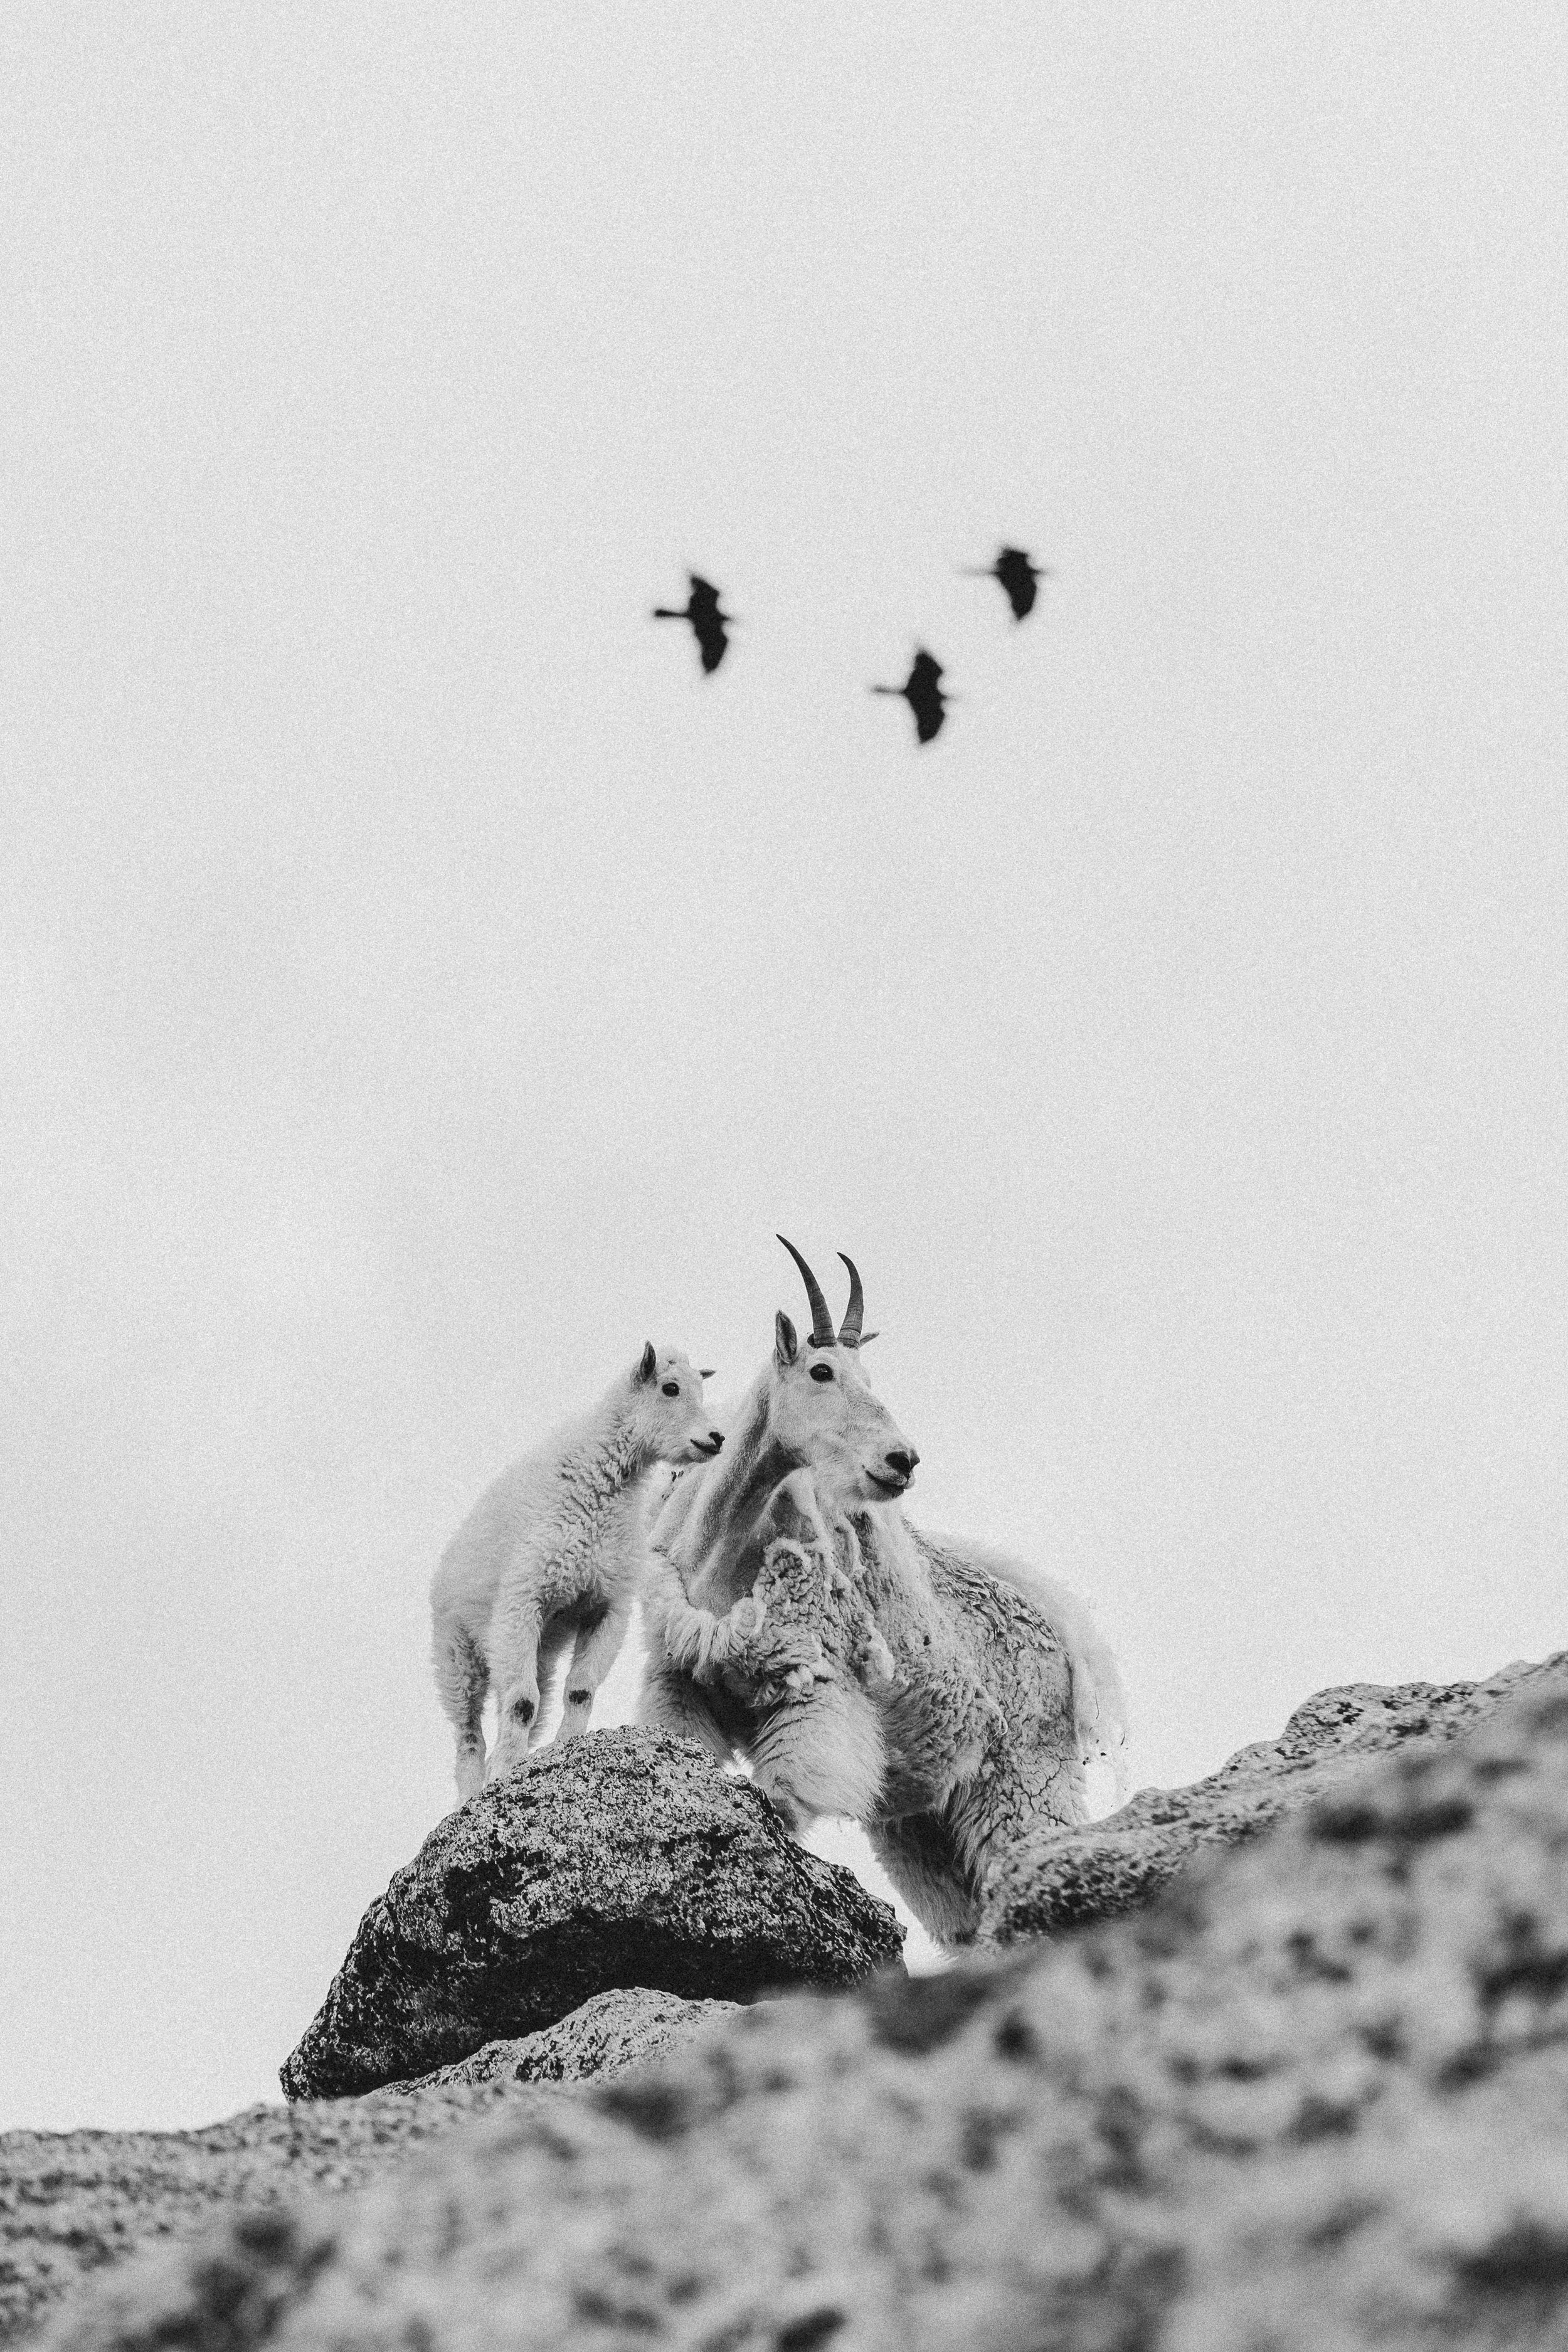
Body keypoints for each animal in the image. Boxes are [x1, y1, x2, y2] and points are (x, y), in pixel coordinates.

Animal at [431, 1343, 723, 1799]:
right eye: (670, 1388)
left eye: (701, 1388)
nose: (715, 1438)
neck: (603, 1487)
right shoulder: (524, 1597)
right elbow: (522, 1704)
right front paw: (504, 1772)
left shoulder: (607, 1607)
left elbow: (580, 1691)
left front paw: (567, 1747)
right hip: (457, 1652)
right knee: (469, 1733)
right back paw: (471, 1792)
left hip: (538, 1650)